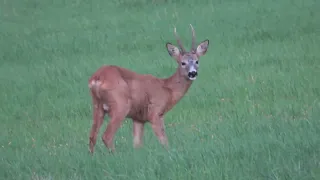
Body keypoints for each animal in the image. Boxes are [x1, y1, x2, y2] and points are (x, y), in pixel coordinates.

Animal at [87, 24, 209, 153]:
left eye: (197, 61)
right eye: (183, 63)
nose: (193, 73)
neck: (167, 89)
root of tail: (97, 78)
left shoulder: (138, 118)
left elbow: (137, 144)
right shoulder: (155, 113)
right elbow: (164, 141)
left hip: (97, 105)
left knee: (92, 136)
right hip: (120, 105)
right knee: (107, 136)